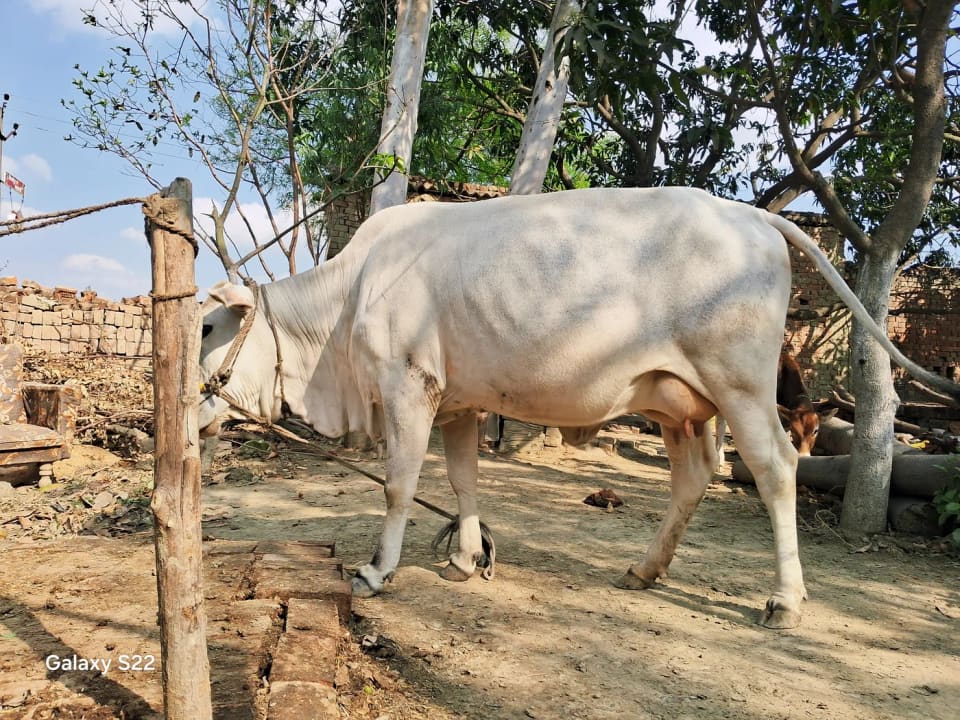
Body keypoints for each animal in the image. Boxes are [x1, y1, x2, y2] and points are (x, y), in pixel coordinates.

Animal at [197, 187, 924, 630]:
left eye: (206, 327)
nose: (192, 406)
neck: (347, 303)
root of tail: (751, 214)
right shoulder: (457, 403)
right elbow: (463, 480)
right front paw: (467, 558)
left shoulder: (409, 387)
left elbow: (400, 486)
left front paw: (377, 570)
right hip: (680, 404)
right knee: (693, 477)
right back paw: (644, 569)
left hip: (740, 386)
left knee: (775, 471)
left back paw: (784, 600)